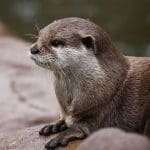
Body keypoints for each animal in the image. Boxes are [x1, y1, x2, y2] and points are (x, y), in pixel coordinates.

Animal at [29, 17, 150, 149]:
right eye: (39, 35)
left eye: (55, 42)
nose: (33, 49)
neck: (109, 85)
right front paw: (56, 124)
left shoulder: (101, 110)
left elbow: (86, 127)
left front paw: (64, 134)